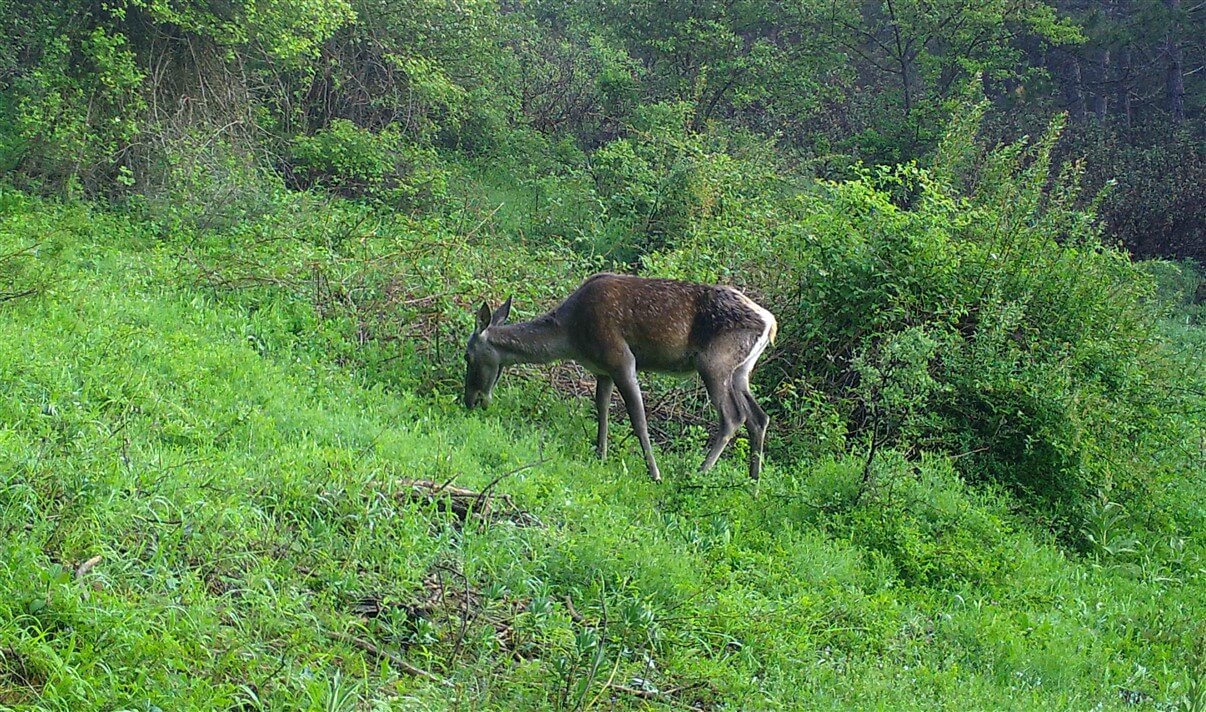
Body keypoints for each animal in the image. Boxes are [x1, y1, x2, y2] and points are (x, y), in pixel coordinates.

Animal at [465, 271, 776, 480]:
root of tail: (771, 323)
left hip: (714, 363)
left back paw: (699, 472)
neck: (571, 336)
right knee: (758, 417)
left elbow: (638, 419)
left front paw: (654, 473)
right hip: (741, 371)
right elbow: (601, 408)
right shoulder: (602, 369)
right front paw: (600, 455)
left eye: (467, 356)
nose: (470, 400)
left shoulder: (621, 359)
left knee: (733, 416)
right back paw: (754, 481)